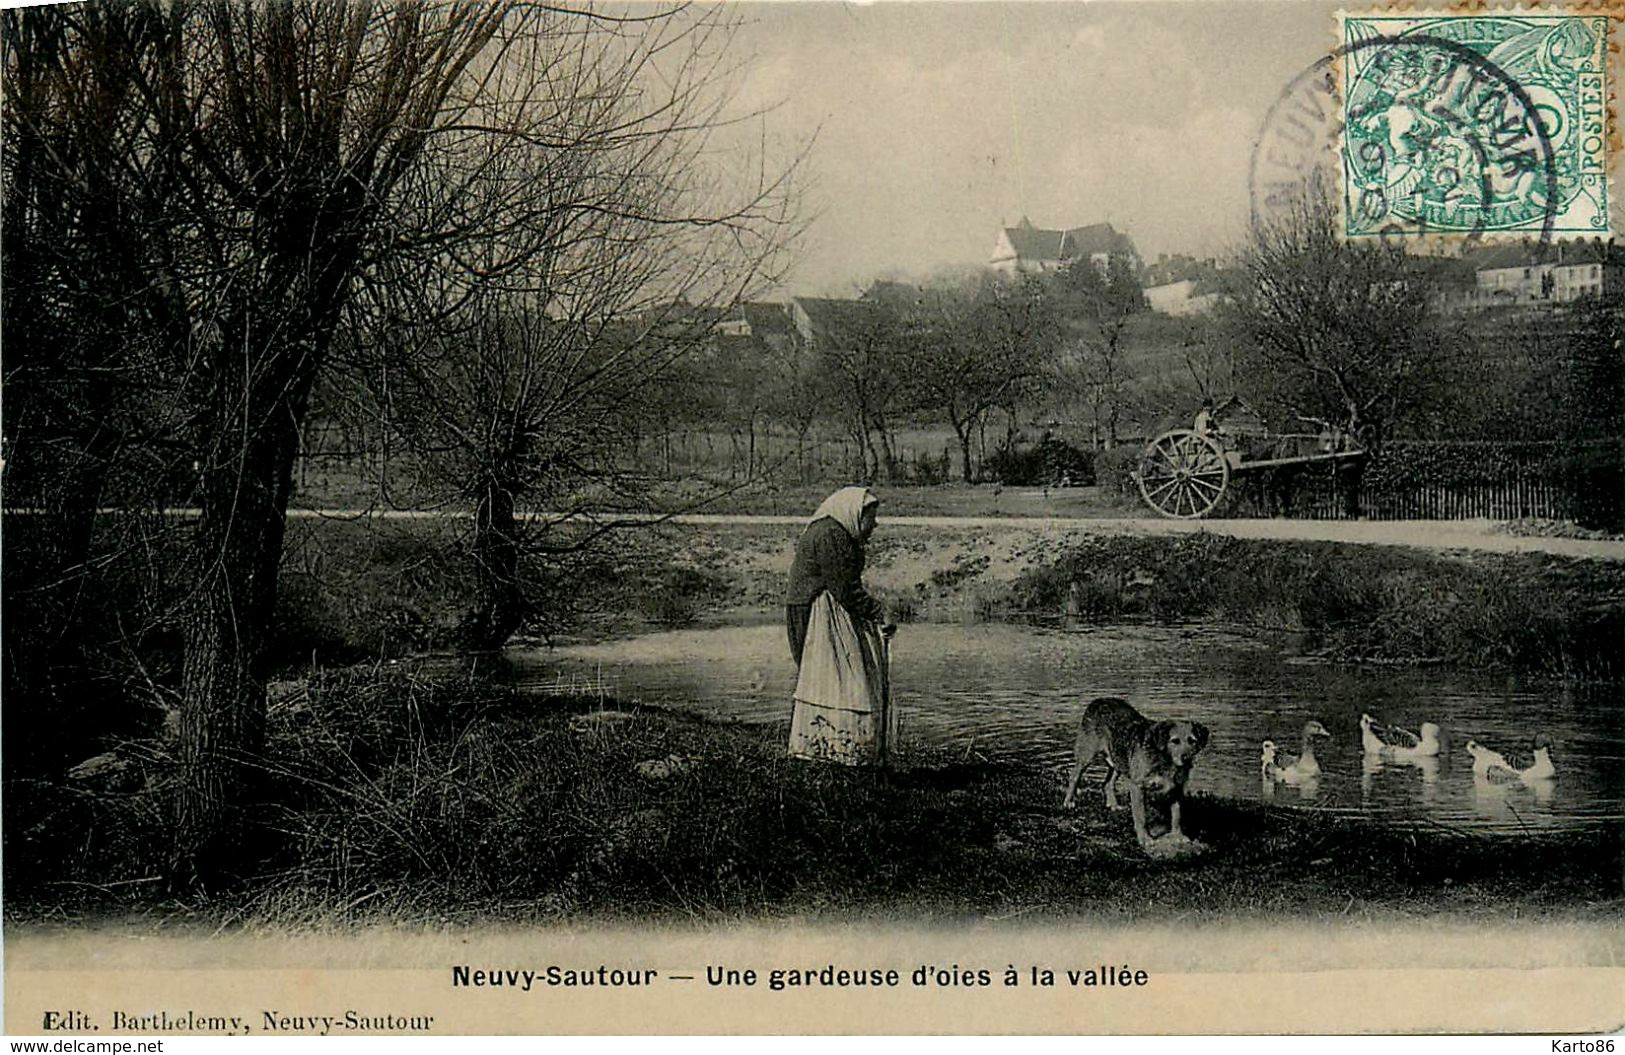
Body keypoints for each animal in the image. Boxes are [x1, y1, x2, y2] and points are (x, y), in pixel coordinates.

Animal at [1066, 698, 1209, 845]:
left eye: (1192, 741)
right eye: (1175, 741)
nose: (1187, 758)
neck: (1164, 758)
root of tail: (1098, 700)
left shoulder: (1177, 789)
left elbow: (1177, 815)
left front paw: (1177, 835)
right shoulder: (1138, 787)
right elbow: (1141, 817)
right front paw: (1144, 838)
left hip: (1119, 761)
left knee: (1107, 783)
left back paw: (1113, 805)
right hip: (1086, 755)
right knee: (1074, 776)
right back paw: (1069, 801)